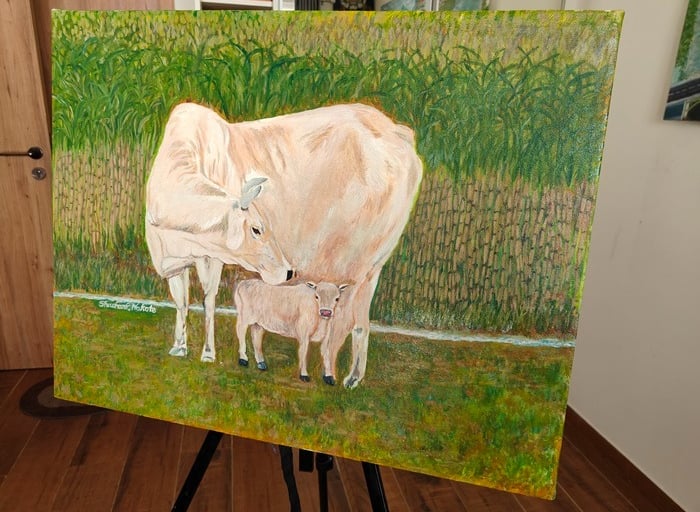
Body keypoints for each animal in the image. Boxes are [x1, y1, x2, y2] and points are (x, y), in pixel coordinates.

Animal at [146, 101, 423, 388]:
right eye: (256, 228)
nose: (290, 272)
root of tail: (395, 129)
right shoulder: (172, 260)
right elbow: (181, 301)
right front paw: (179, 346)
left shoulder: (212, 257)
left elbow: (208, 300)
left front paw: (208, 353)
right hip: (372, 267)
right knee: (360, 322)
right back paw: (353, 377)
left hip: (353, 263)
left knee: (342, 322)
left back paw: (334, 374)